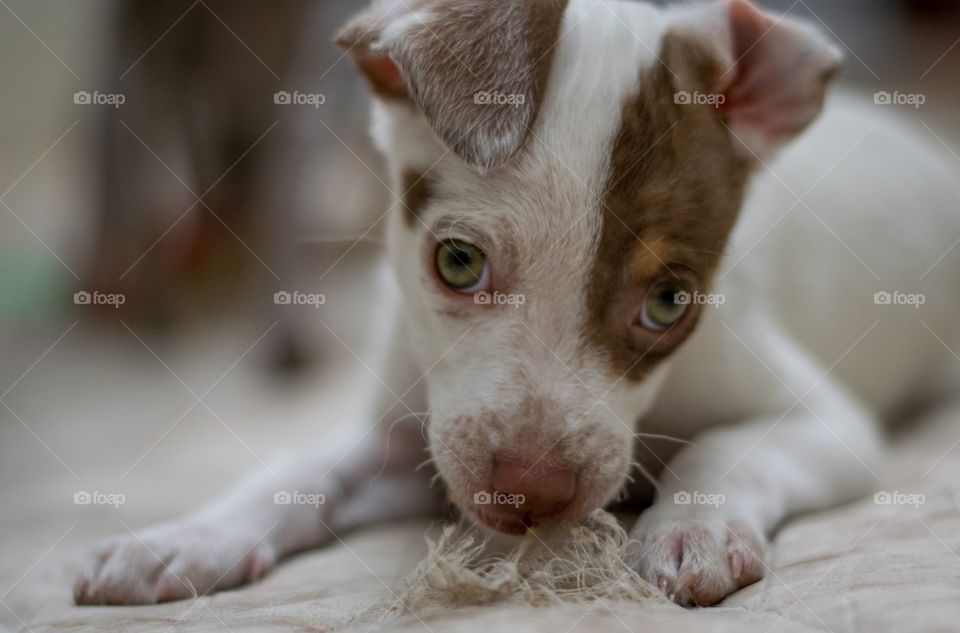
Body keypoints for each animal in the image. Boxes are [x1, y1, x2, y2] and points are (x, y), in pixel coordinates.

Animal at [77, 0, 960, 604]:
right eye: (458, 262)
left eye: (671, 302)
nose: (531, 493)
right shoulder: (414, 440)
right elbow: (298, 466)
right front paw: (185, 537)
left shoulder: (827, 421)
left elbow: (726, 447)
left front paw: (691, 526)